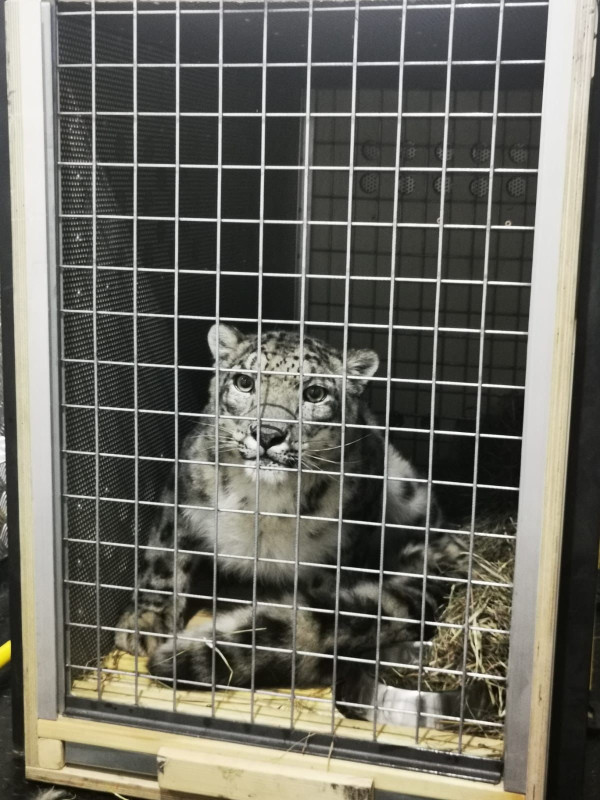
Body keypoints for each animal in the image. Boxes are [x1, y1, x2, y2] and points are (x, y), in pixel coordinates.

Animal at [115, 324, 464, 716]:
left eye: (314, 393)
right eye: (244, 382)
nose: (268, 434)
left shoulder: (350, 536)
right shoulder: (184, 494)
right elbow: (163, 562)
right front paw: (144, 625)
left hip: (409, 490)